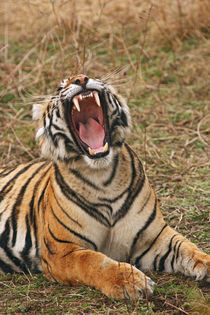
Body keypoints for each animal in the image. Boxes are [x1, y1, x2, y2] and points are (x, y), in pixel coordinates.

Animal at [0, 74, 209, 302]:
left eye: (92, 76)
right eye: (60, 86)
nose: (81, 79)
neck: (103, 177)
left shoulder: (152, 238)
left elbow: (186, 247)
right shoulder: (61, 250)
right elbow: (91, 261)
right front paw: (132, 281)